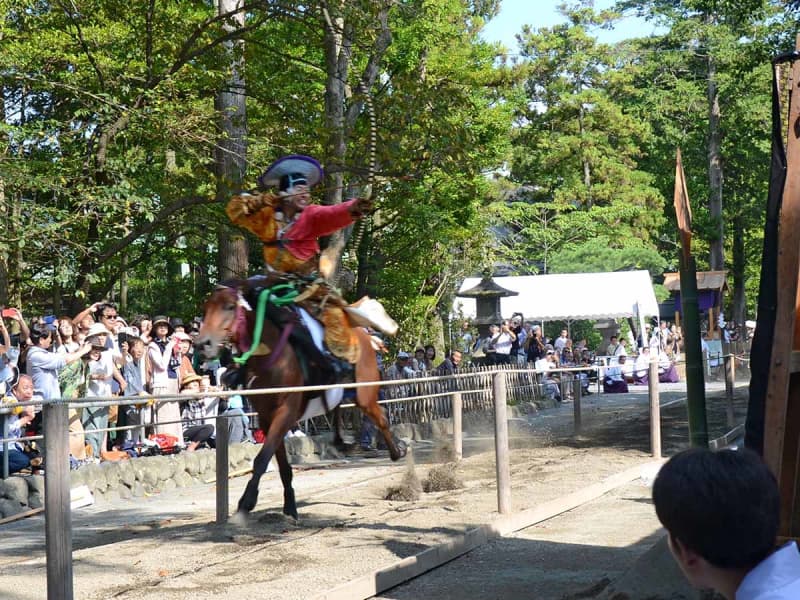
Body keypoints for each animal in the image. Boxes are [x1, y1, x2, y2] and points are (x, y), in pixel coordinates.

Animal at [194, 278, 406, 516]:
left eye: (230, 307)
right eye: (206, 308)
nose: (202, 344)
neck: (272, 359)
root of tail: (364, 336)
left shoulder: (285, 412)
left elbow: (262, 459)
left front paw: (247, 501)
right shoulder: (267, 417)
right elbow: (279, 462)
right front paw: (289, 504)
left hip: (365, 394)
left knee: (382, 417)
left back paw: (397, 451)